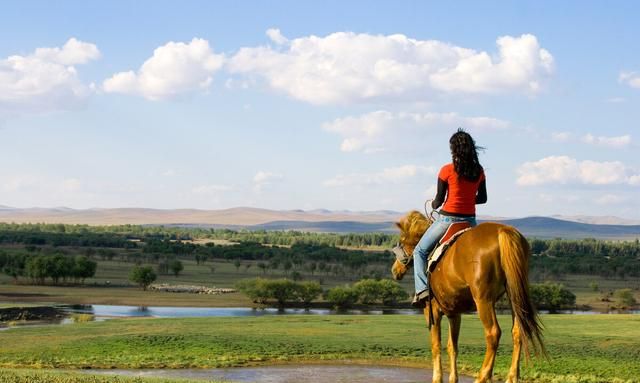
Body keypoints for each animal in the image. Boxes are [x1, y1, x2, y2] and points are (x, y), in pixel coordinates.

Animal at [390, 210, 544, 383]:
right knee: (518, 331)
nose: (395, 270)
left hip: (483, 300)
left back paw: (483, 376)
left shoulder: (433, 311)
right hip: (514, 297)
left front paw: (437, 377)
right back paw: (511, 377)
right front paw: (453, 377)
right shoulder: (454, 314)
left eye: (402, 241)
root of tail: (503, 231)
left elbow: (436, 345)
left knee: (493, 333)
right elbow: (452, 346)